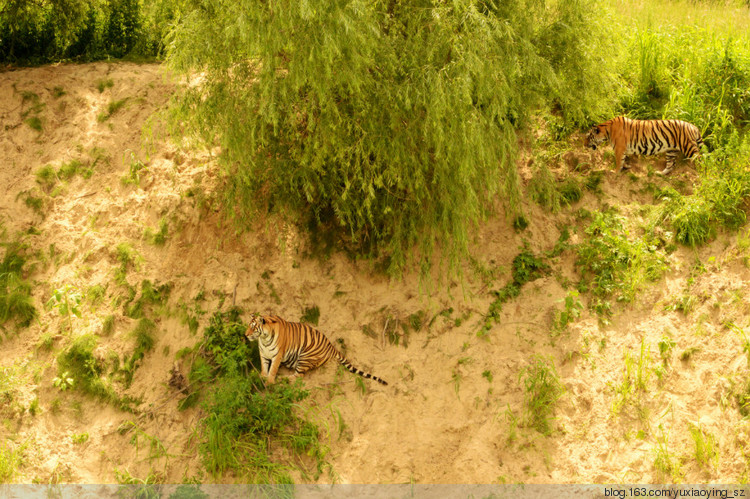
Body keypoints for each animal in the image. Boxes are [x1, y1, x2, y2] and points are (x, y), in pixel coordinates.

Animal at [247, 316, 390, 386]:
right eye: (249, 326)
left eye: (253, 327)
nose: (246, 335)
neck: (264, 339)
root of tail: (332, 347)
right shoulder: (263, 353)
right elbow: (264, 367)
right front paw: (262, 376)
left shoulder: (277, 355)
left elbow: (272, 370)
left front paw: (269, 381)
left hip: (305, 355)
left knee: (299, 376)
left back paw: (282, 379)